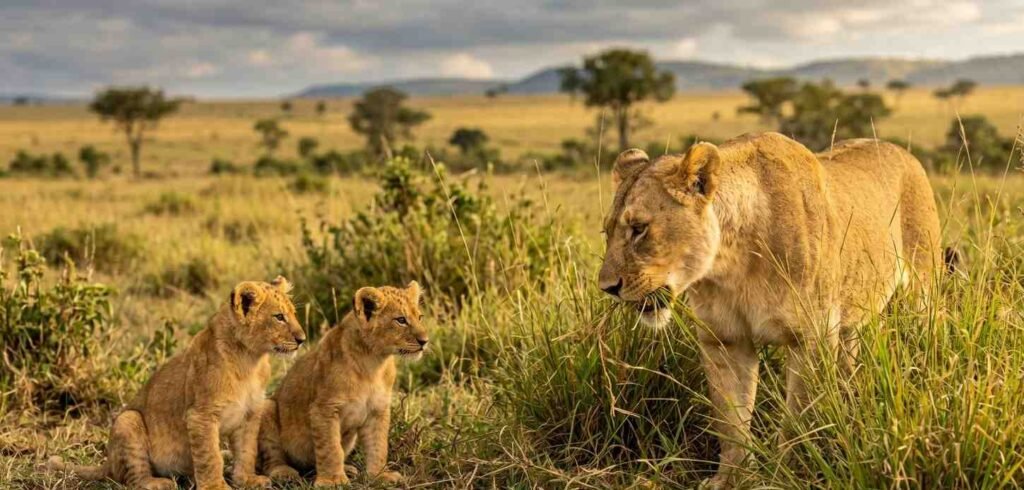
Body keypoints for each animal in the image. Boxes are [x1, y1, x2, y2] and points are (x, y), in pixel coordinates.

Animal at [49, 277, 306, 490]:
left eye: (293, 314)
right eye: (279, 317)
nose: (302, 339)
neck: (250, 360)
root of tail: (108, 462)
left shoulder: (250, 413)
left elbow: (246, 450)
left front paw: (247, 480)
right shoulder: (200, 415)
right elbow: (210, 456)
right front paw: (216, 487)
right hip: (128, 420)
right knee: (133, 479)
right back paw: (157, 483)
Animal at [258, 281, 427, 487]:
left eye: (419, 317)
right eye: (401, 320)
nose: (425, 341)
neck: (373, 362)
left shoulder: (378, 410)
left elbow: (378, 446)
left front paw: (379, 475)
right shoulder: (324, 409)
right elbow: (331, 448)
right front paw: (333, 480)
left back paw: (349, 469)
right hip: (266, 407)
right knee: (270, 460)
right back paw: (284, 473)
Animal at [597, 133, 942, 488]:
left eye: (639, 228)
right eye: (607, 232)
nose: (607, 287)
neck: (732, 263)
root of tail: (899, 149)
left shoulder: (813, 337)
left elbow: (798, 420)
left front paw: (785, 473)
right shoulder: (725, 341)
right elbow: (730, 421)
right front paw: (730, 477)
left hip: (922, 288)